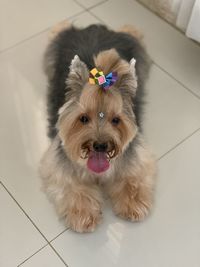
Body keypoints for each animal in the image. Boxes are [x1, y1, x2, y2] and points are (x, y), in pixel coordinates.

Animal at [39, 22, 156, 233]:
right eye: (83, 118)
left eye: (116, 120)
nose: (100, 145)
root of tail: (95, 27)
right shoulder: (58, 163)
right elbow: (73, 185)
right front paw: (84, 213)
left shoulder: (136, 156)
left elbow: (133, 176)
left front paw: (133, 203)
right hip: (53, 53)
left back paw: (131, 28)